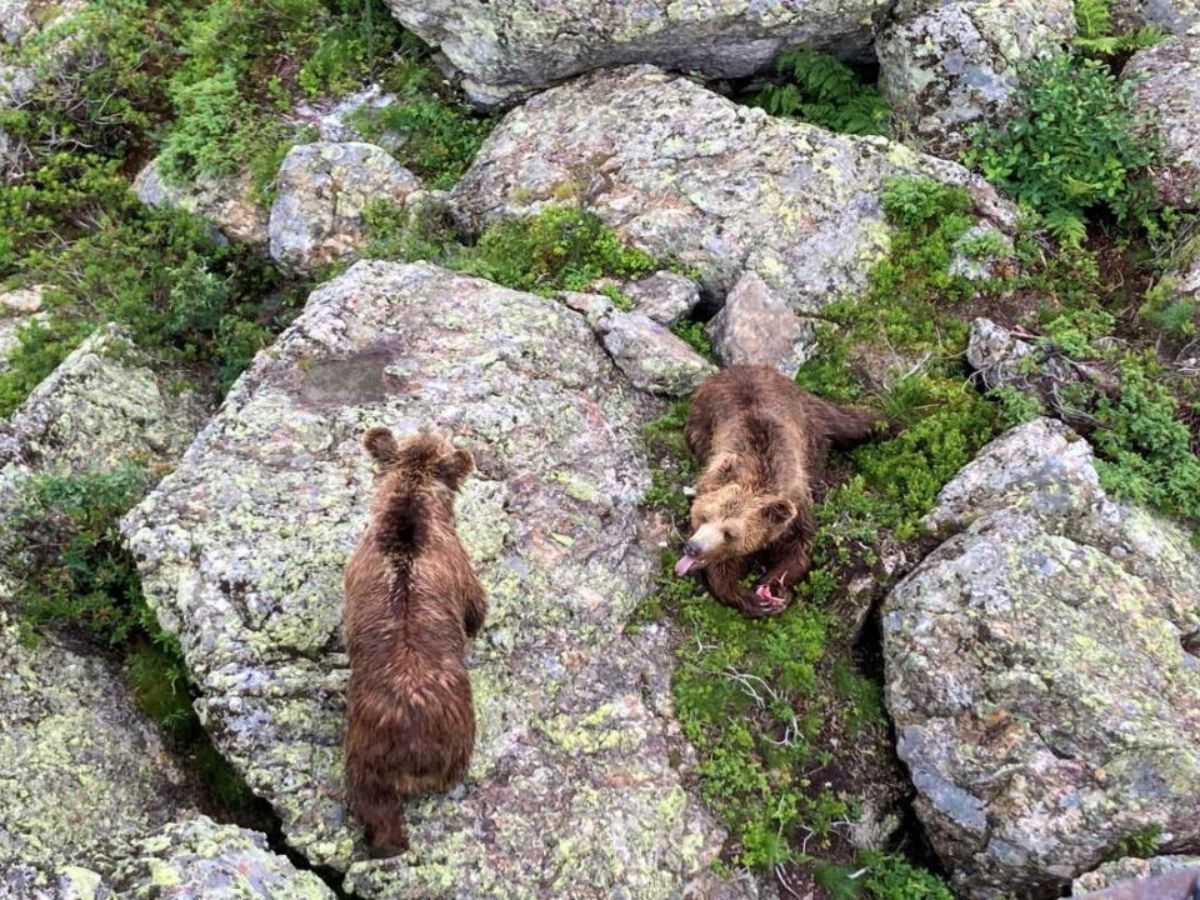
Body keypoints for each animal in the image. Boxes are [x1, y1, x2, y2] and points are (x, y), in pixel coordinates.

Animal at [675, 365, 891, 618]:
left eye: (730, 533)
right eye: (704, 516)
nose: (693, 548)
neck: (760, 474)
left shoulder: (794, 508)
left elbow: (798, 550)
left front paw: (770, 584)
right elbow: (722, 569)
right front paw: (750, 598)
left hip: (808, 422)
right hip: (703, 422)